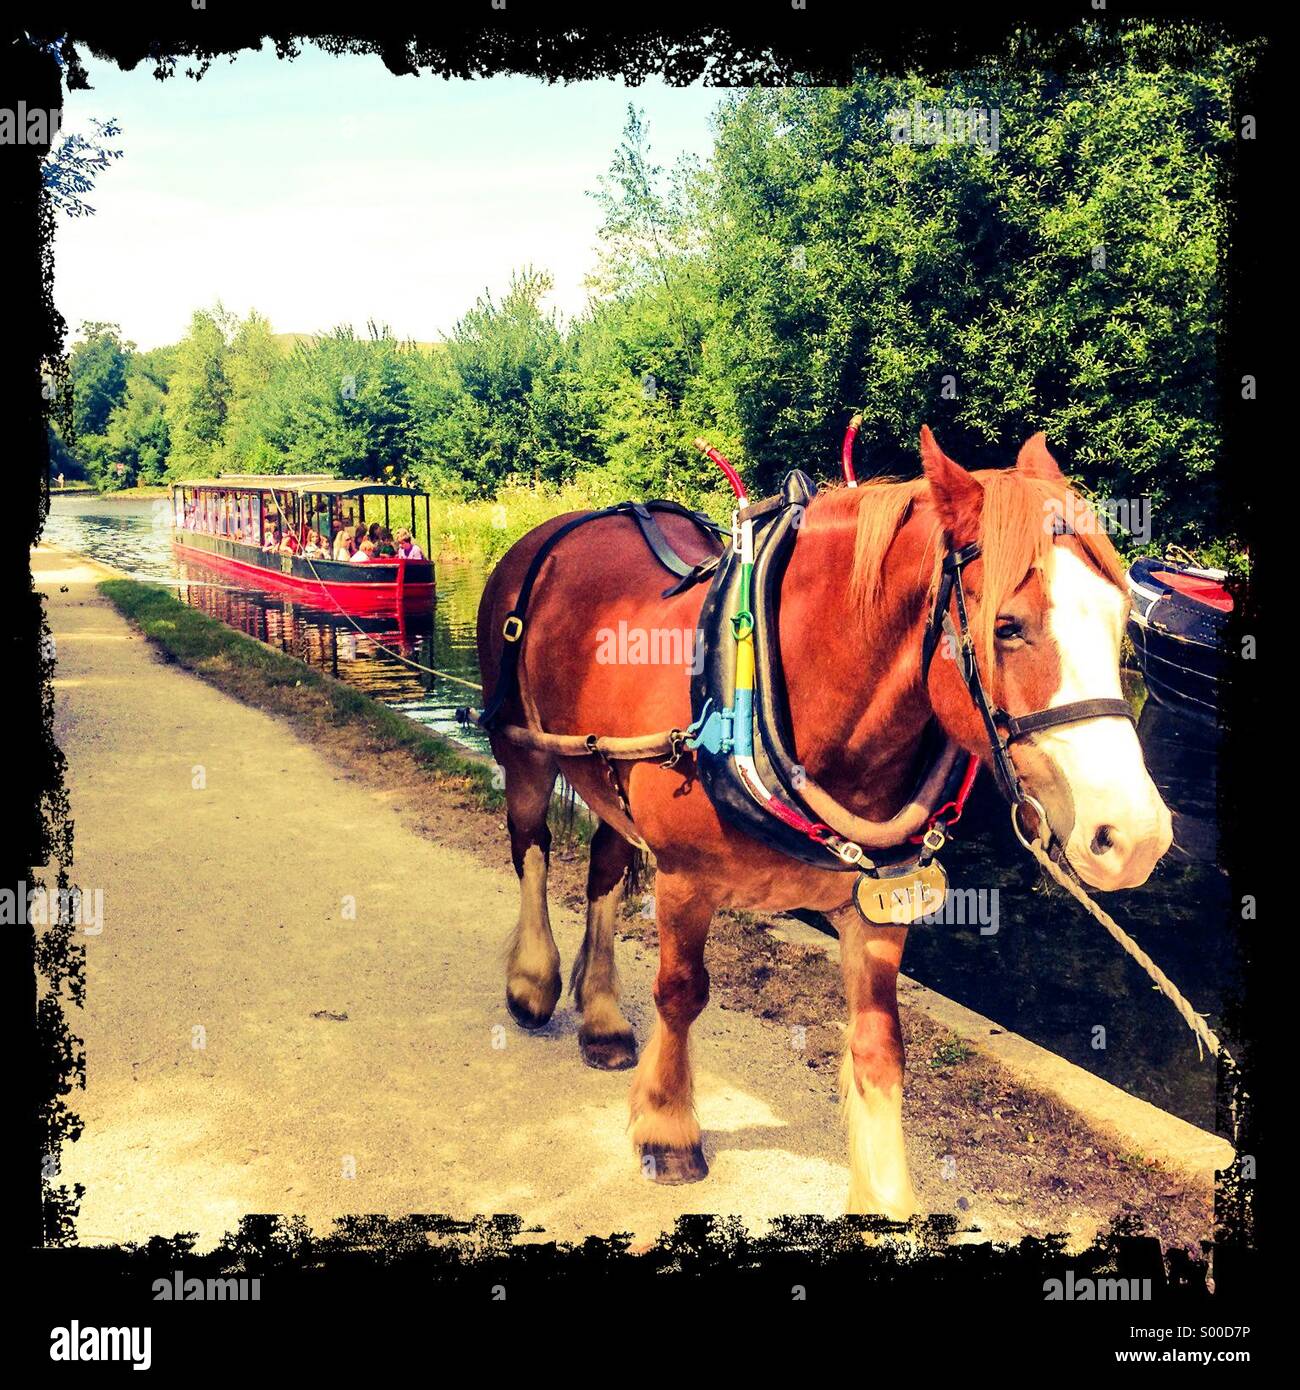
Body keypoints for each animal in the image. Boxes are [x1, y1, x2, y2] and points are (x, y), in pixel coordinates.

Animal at [475, 427, 1172, 1215]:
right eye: (1009, 626)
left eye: (1120, 620)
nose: (1135, 837)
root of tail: (562, 526)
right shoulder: (684, 880)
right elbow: (680, 995)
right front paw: (667, 1127)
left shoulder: (877, 904)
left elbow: (880, 1046)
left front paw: (887, 1199)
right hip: (524, 751)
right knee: (531, 849)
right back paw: (533, 980)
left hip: (603, 772)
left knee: (603, 867)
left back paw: (599, 1018)